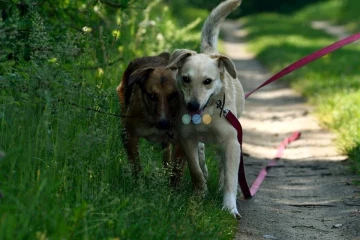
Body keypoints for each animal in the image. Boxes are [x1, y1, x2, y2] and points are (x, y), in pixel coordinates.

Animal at [117, 52, 187, 184]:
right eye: (152, 96)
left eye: (173, 95)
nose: (164, 123)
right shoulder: (129, 134)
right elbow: (135, 165)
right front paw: (138, 183)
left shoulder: (181, 143)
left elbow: (176, 172)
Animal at [167, 0, 243, 218]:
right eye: (186, 78)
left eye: (207, 81)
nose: (192, 105)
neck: (207, 114)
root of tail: (210, 51)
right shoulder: (187, 140)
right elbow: (196, 171)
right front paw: (199, 195)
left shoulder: (232, 142)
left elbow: (231, 177)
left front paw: (229, 207)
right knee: (203, 156)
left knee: (224, 167)